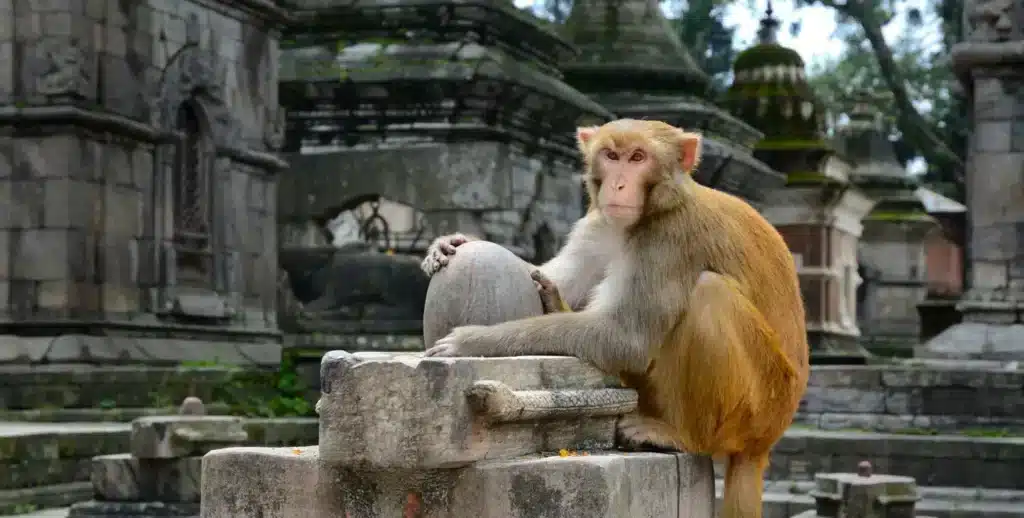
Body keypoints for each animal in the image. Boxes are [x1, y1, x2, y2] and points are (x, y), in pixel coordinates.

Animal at [421, 119, 809, 518]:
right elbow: (550, 277)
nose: (618, 184)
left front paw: (473, 340)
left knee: (709, 294)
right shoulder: (597, 225)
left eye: (638, 157)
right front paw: (450, 243)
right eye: (611, 155)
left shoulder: (670, 238)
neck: (646, 214)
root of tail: (765, 443)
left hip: (759, 409)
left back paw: (682, 435)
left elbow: (626, 338)